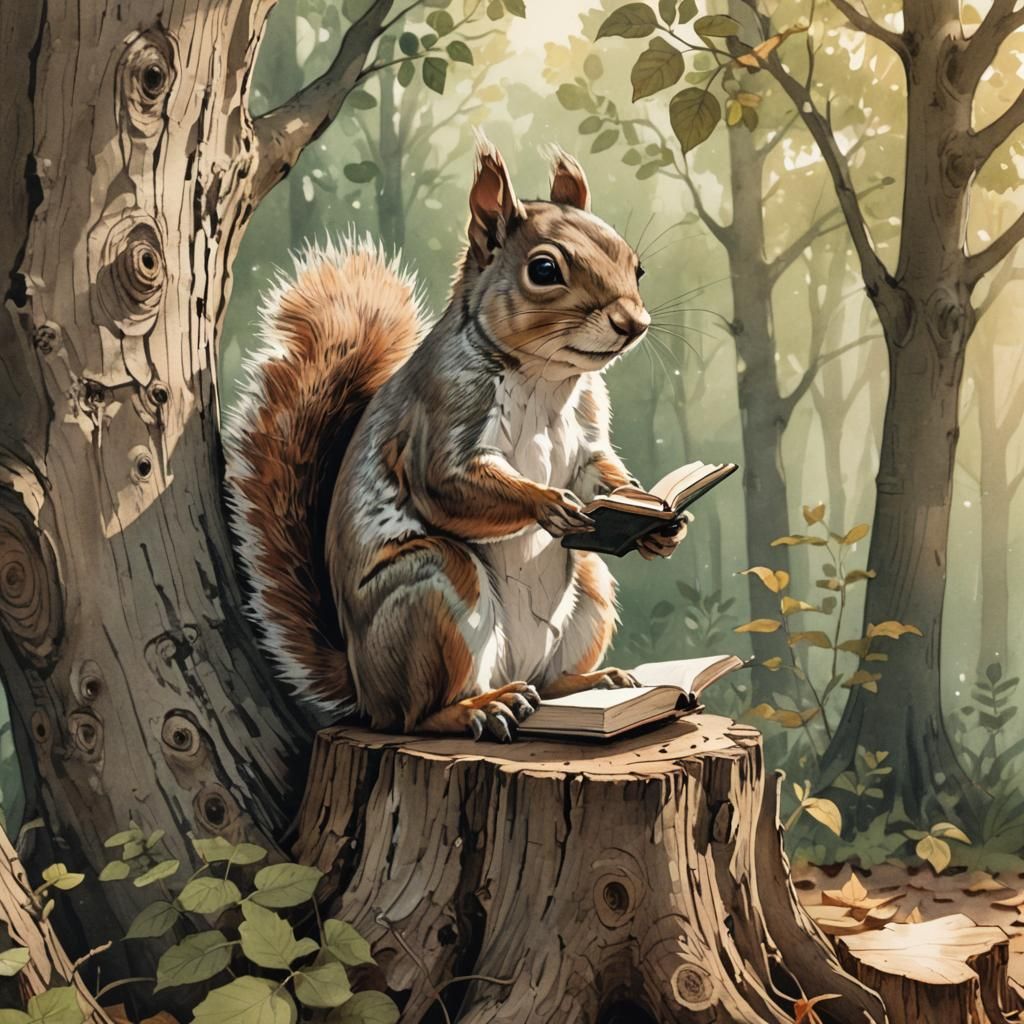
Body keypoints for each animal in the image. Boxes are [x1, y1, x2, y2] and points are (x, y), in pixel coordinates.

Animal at [224, 139, 688, 741]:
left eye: (637, 265)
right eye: (544, 269)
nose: (633, 323)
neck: (545, 379)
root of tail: (362, 686)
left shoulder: (587, 432)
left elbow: (598, 471)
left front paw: (655, 516)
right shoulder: (440, 412)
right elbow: (447, 481)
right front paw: (548, 503)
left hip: (588, 585)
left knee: (549, 680)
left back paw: (592, 681)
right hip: (434, 590)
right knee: (416, 716)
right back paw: (479, 708)